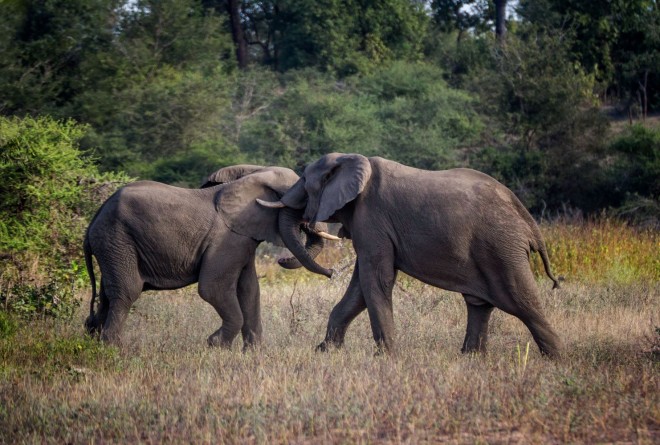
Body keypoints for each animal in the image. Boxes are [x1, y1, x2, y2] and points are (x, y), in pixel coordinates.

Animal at [84, 165, 333, 349]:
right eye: (303, 200)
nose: (332, 272)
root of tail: (95, 218)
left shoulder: (241, 238)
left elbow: (250, 290)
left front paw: (253, 353)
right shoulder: (228, 240)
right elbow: (213, 288)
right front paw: (217, 345)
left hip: (112, 244)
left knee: (107, 295)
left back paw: (93, 339)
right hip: (116, 238)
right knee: (127, 291)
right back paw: (113, 348)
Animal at [258, 153, 562, 357]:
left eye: (304, 181)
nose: (331, 272)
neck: (352, 159)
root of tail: (527, 219)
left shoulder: (372, 218)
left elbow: (375, 280)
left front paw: (386, 357)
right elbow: (360, 287)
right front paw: (324, 351)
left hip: (501, 248)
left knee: (522, 301)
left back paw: (557, 360)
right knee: (480, 305)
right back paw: (471, 357)